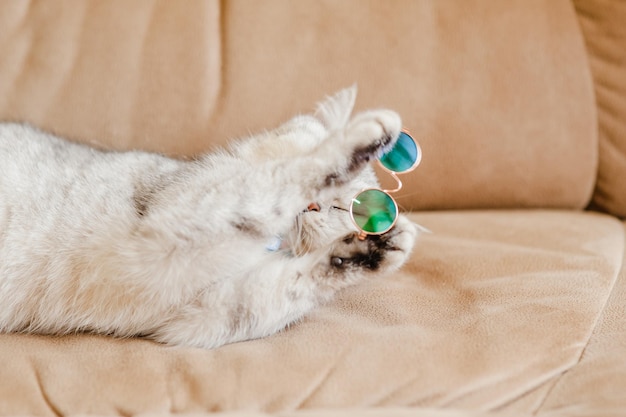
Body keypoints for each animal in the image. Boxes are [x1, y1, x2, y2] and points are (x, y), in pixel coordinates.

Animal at [1, 87, 420, 348]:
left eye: (345, 210)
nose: (314, 206)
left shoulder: (202, 314)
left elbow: (291, 288)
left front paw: (377, 248)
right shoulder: (176, 220)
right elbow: (278, 178)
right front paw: (367, 135)